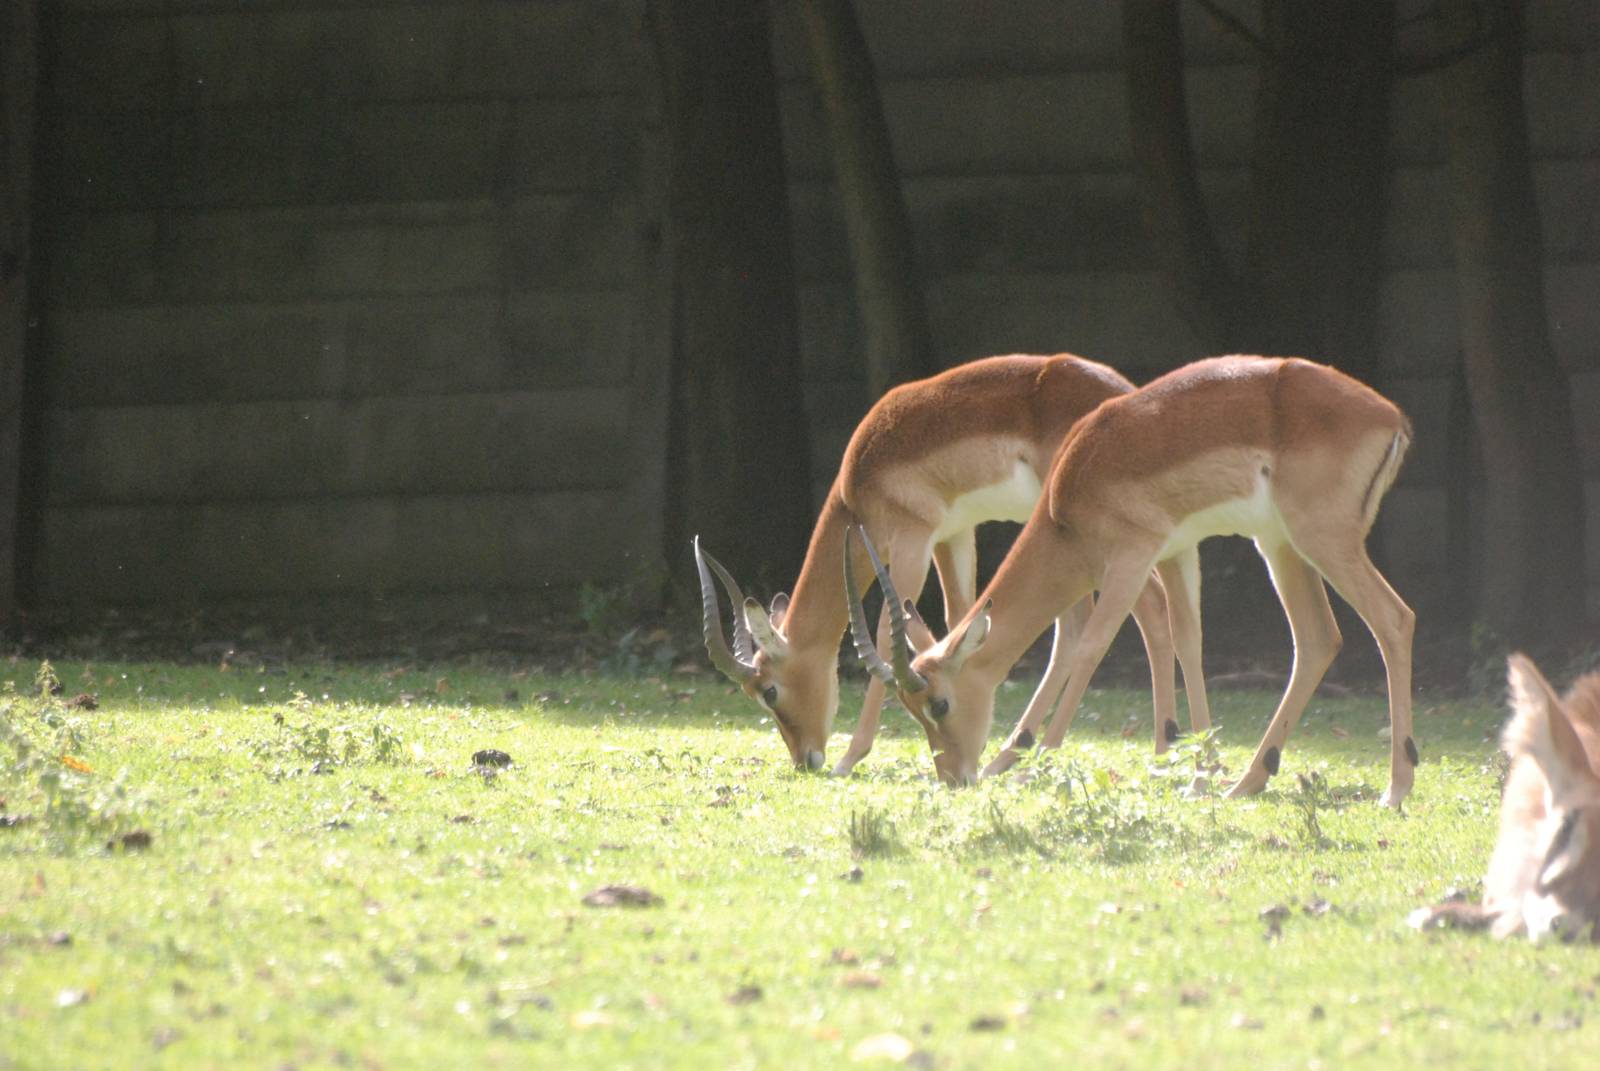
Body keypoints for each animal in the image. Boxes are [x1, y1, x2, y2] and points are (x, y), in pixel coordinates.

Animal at [694, 354, 1213, 776]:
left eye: (769, 691)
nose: (807, 759)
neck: (857, 482)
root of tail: (1124, 393)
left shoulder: (912, 538)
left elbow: (883, 631)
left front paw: (850, 757)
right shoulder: (953, 534)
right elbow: (959, 619)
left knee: (1145, 609)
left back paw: (1161, 750)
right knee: (1095, 622)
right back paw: (1015, 756)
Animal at [847, 355, 1418, 805]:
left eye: (938, 702)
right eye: (911, 709)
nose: (953, 776)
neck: (1067, 501)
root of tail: (1390, 417)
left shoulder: (1130, 556)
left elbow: (1091, 647)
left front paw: (1035, 767)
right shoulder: (1178, 551)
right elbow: (1189, 640)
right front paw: (1199, 778)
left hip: (1322, 541)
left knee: (1394, 618)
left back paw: (1394, 789)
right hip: (1279, 545)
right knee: (1318, 638)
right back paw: (1247, 782)